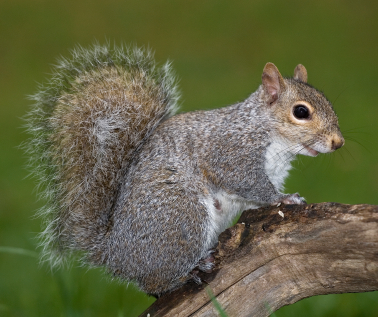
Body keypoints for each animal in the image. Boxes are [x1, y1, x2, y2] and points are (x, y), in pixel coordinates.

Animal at [25, 43, 346, 294]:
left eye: (328, 102)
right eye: (301, 112)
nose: (338, 142)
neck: (267, 132)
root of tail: (115, 254)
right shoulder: (232, 155)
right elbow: (252, 185)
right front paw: (284, 199)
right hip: (183, 213)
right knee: (154, 282)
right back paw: (187, 273)